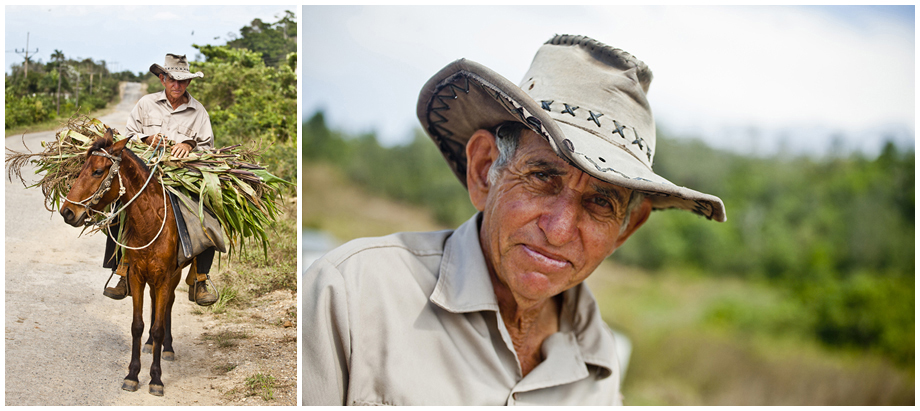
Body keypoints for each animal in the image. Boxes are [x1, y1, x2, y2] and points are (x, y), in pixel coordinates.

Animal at [59, 130, 189, 398]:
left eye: (97, 171)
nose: (67, 212)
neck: (151, 221)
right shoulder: (137, 277)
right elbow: (137, 326)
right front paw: (132, 375)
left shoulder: (164, 277)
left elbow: (159, 326)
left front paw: (156, 379)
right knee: (156, 306)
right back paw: (150, 345)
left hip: (174, 276)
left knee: (167, 306)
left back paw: (167, 348)